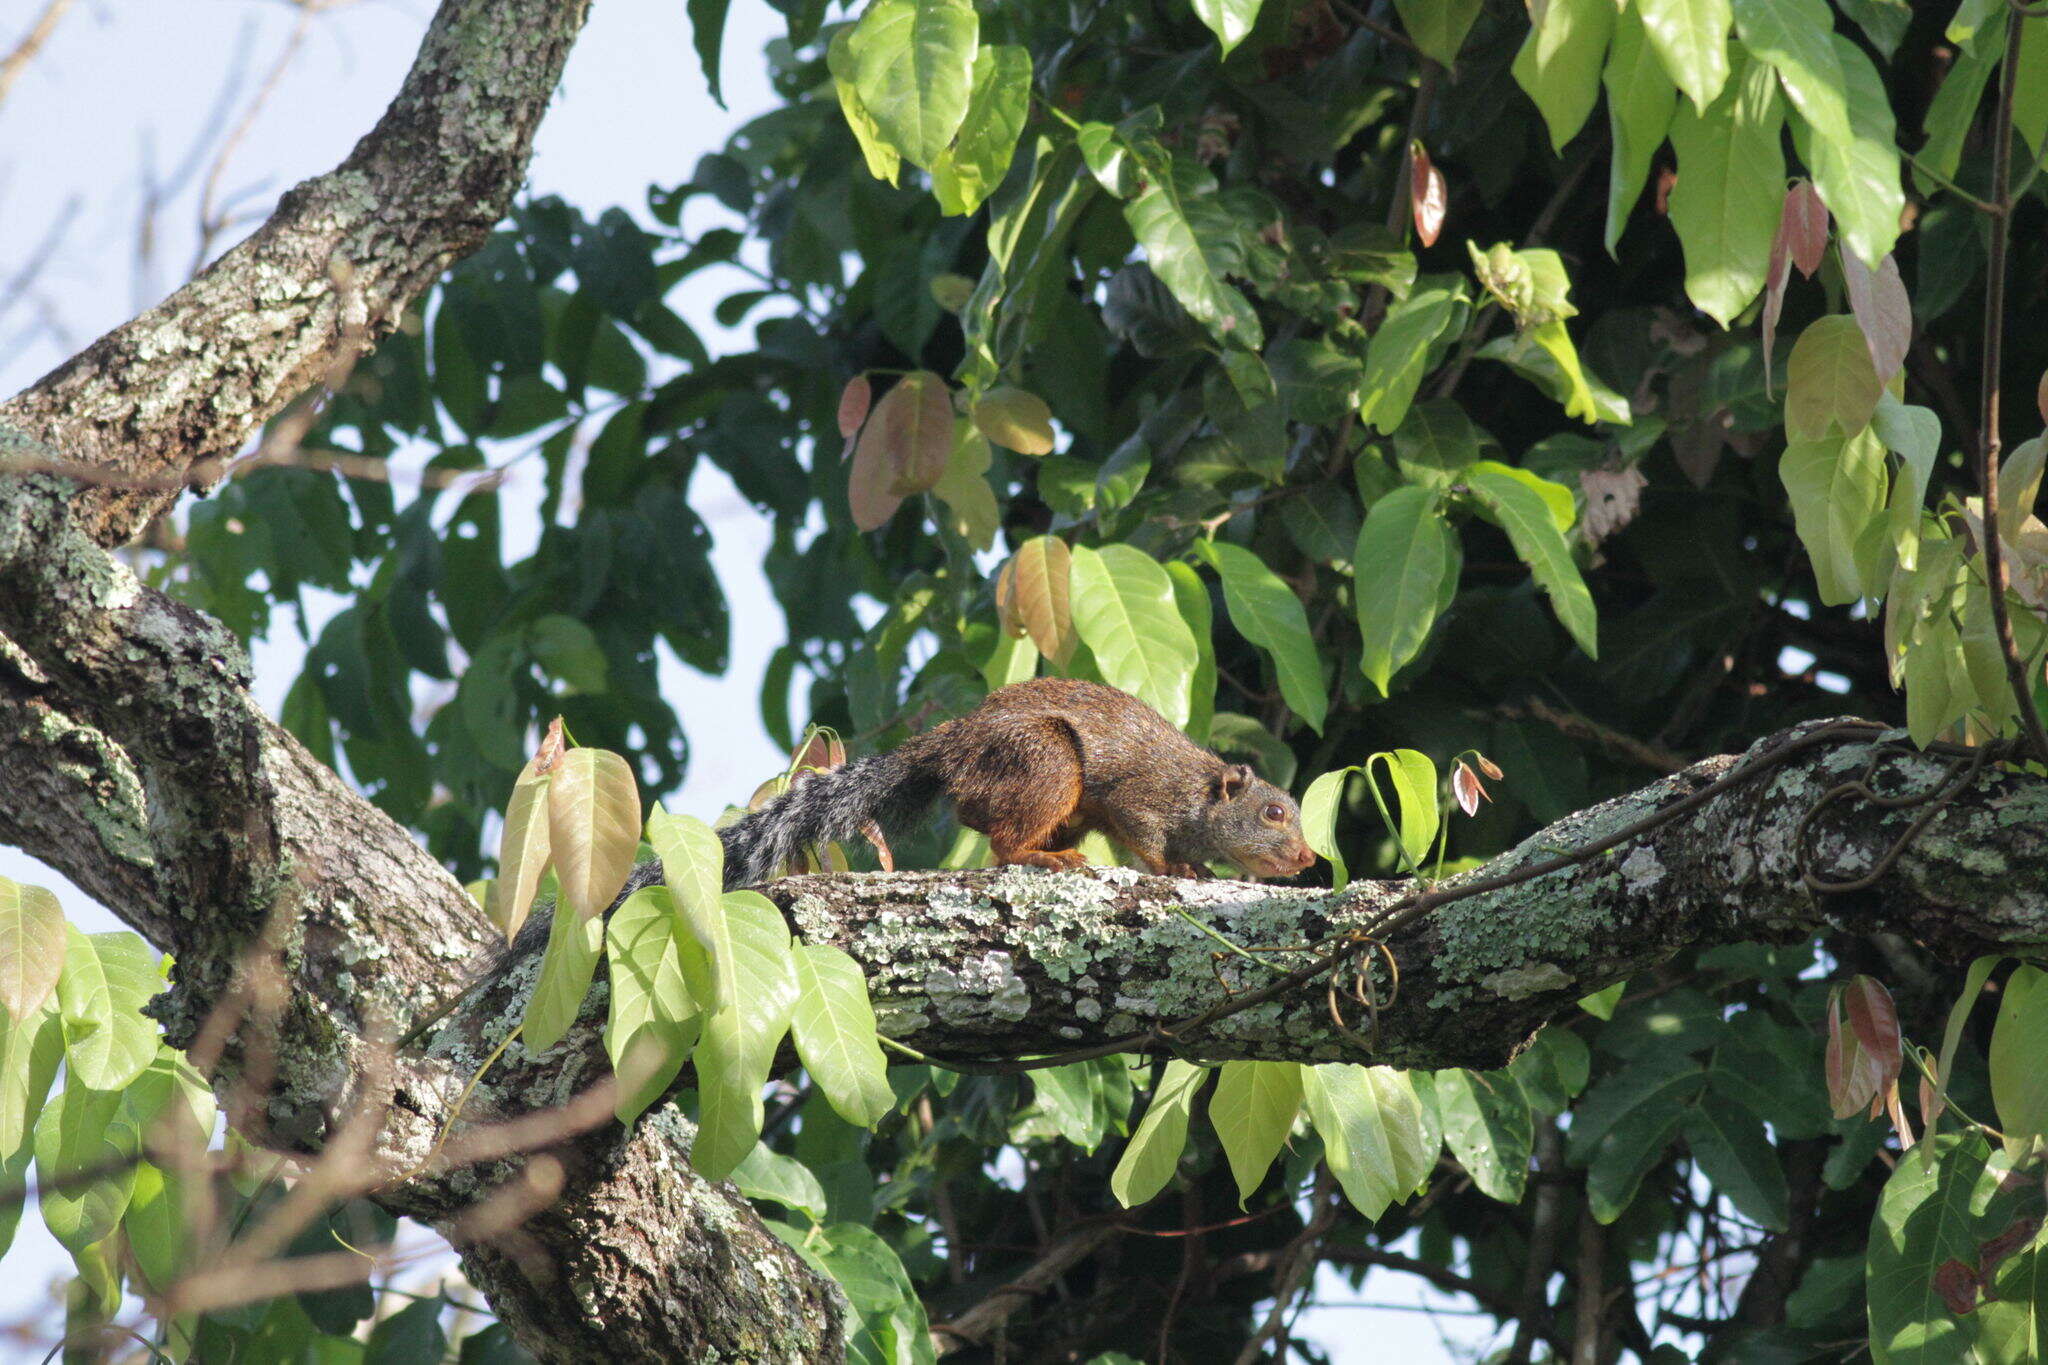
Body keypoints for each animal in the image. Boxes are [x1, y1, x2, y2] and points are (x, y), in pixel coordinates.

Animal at [720, 679, 1318, 892]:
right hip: (1046, 764)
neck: (1201, 796)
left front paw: (1198, 867)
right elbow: (1144, 836)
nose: (1308, 858)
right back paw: (1040, 857)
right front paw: (1175, 867)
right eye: (1273, 813)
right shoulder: (1143, 799)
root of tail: (954, 742)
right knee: (1004, 842)